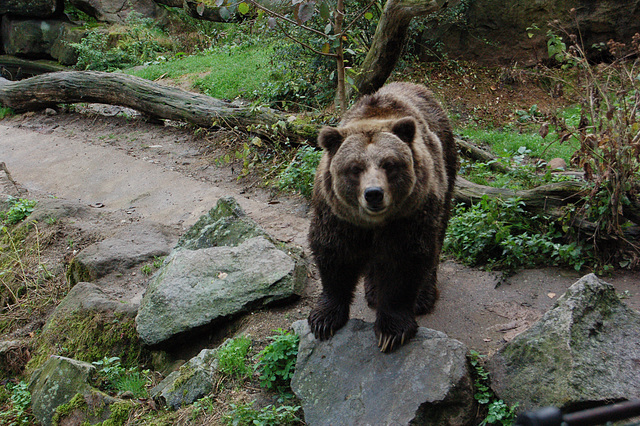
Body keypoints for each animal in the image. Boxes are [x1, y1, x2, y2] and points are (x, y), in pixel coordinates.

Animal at [308, 81, 458, 352]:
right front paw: (324, 319)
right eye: (354, 168)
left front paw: (392, 331)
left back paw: (423, 296)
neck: (373, 223)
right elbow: (333, 255)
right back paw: (372, 290)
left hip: (445, 168)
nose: (374, 194)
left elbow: (403, 264)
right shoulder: (337, 216)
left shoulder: (409, 216)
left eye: (389, 164)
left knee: (436, 238)